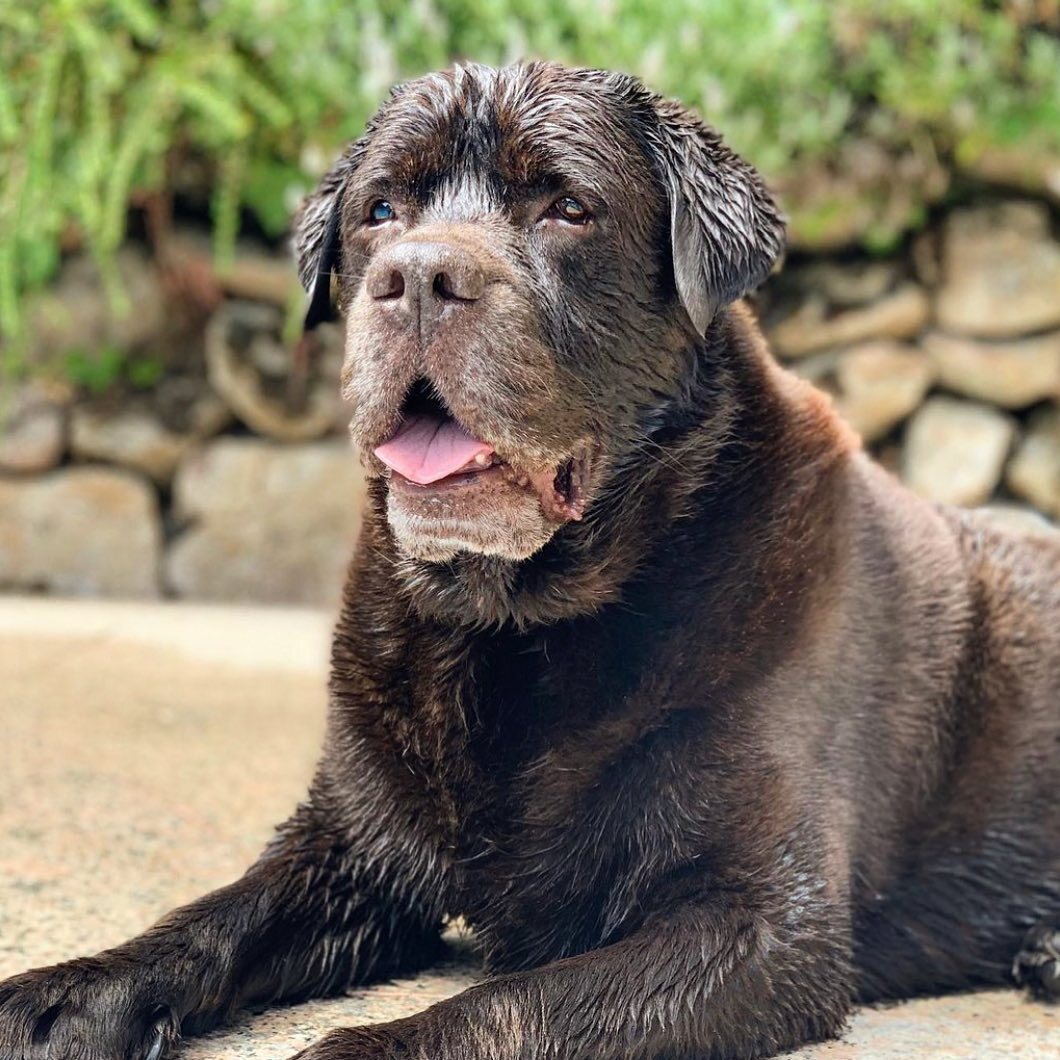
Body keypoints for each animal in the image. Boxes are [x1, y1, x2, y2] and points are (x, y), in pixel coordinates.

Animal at [2, 64, 1060, 1060]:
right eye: (380, 210)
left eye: (567, 207)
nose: (419, 279)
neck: (507, 623)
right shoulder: (348, 845)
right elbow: (212, 916)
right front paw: (65, 995)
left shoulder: (757, 922)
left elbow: (509, 1008)